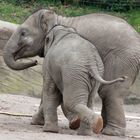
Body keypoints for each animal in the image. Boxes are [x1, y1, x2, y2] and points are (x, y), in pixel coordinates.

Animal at [2, 9, 140, 136]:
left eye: (23, 33)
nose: (35, 61)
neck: (58, 18)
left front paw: (36, 122)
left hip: (122, 60)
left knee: (109, 93)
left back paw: (110, 132)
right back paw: (100, 128)